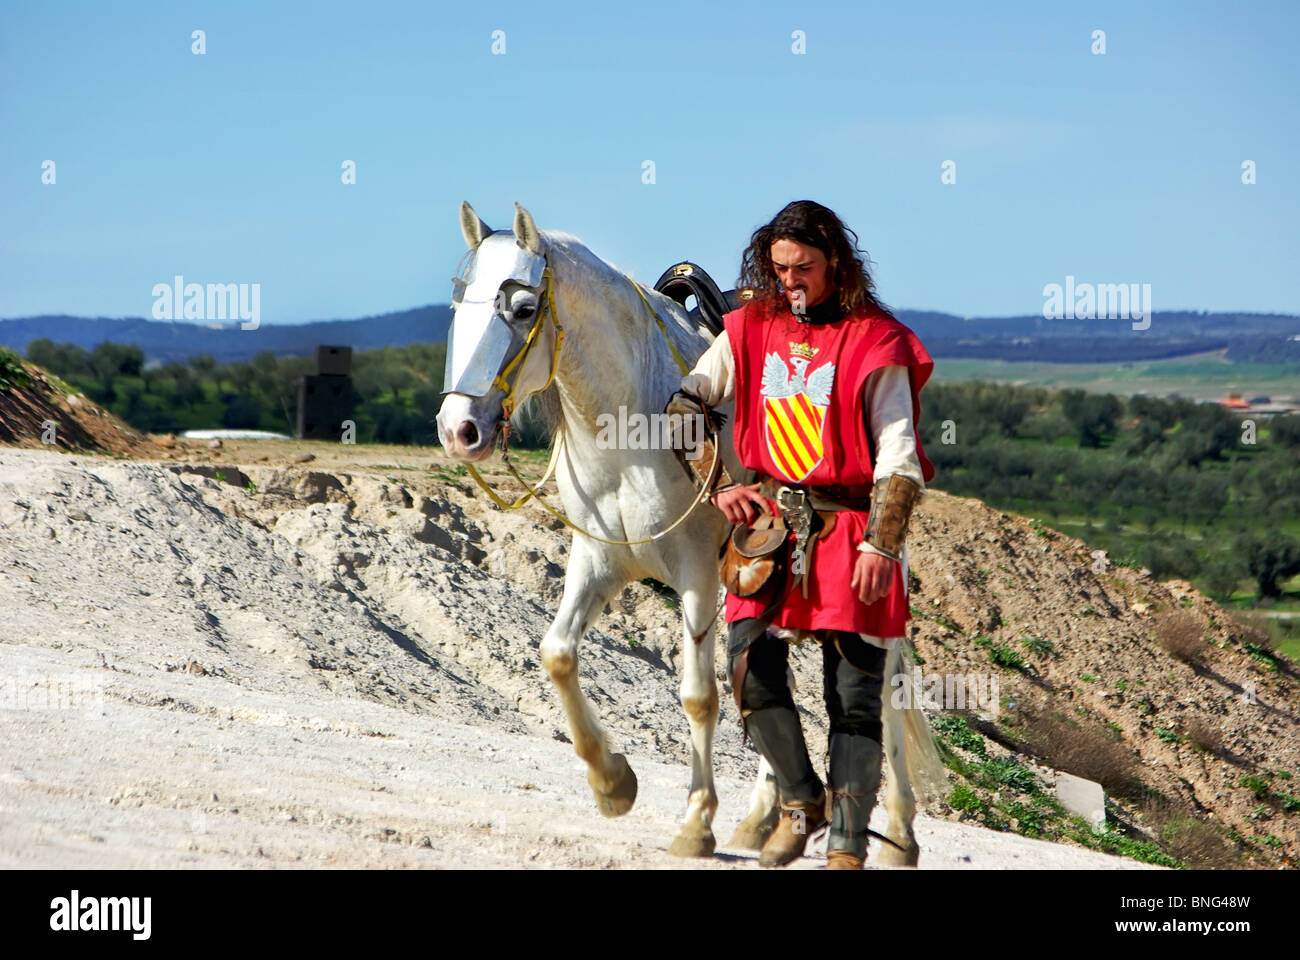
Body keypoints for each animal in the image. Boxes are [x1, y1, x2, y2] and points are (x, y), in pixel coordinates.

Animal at [441, 201, 941, 858]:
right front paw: (612, 782)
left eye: (523, 309)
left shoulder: (698, 576)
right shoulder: (597, 562)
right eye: (458, 303)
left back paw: (898, 830)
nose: (459, 429)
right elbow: (557, 654)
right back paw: (768, 815)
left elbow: (699, 696)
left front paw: (696, 821)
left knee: (886, 690)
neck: (627, 424)